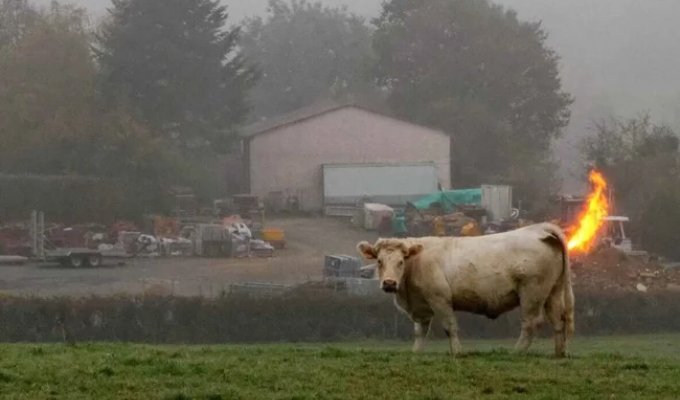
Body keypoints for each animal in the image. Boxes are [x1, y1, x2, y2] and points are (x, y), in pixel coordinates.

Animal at [356, 223, 572, 358]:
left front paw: (457, 352)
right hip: (553, 292)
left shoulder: (440, 299)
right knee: (558, 320)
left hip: (532, 293)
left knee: (531, 323)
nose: (389, 283)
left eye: (401, 261)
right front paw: (416, 353)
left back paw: (516, 352)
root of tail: (539, 229)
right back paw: (559, 354)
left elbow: (449, 327)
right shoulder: (421, 307)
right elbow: (420, 332)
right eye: (379, 261)